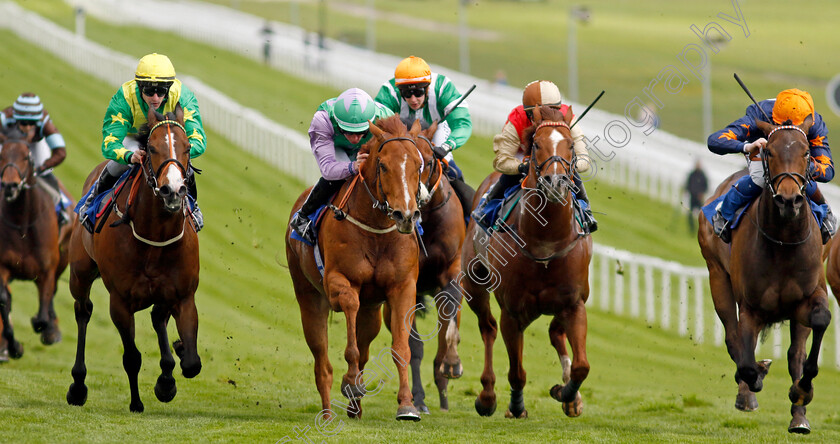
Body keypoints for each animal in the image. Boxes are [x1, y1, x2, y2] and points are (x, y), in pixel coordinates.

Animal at [66, 105, 201, 412]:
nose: (173, 190)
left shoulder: (183, 295)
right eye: (151, 148)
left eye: (187, 147)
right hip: (80, 273)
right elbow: (132, 357)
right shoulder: (120, 301)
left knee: (158, 317)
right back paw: (78, 386)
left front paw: (168, 377)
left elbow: (191, 363)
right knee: (83, 311)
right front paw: (137, 402)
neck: (155, 237)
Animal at [288, 114, 426, 420]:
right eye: (383, 165)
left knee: (364, 345)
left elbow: (401, 347)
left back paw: (355, 406)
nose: (406, 215)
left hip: (371, 310)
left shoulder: (403, 287)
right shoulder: (338, 281)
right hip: (309, 298)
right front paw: (350, 381)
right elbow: (350, 309)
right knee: (322, 363)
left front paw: (407, 405)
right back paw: (329, 413)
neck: (376, 230)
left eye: (418, 164)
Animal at [386, 120, 470, 412]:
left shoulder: (452, 272)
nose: (415, 198)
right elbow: (413, 346)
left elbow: (449, 322)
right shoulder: (404, 286)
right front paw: (418, 398)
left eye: (430, 160)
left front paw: (452, 363)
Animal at [460, 106, 592, 418]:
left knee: (555, 332)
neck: (545, 242)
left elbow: (582, 366)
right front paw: (516, 405)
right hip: (474, 284)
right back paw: (487, 396)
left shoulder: (574, 303)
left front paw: (566, 394)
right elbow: (517, 372)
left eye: (571, 145)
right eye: (536, 145)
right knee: (488, 328)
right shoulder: (512, 311)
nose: (556, 183)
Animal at [700, 116, 832, 436]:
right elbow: (745, 359)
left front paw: (802, 392)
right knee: (734, 339)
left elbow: (818, 325)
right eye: (769, 151)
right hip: (717, 277)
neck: (783, 242)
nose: (789, 200)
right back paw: (747, 392)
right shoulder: (751, 307)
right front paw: (755, 378)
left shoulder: (809, 296)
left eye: (807, 153)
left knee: (795, 353)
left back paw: (799, 416)